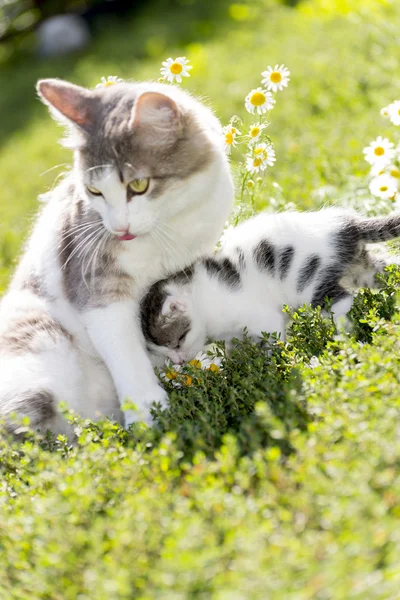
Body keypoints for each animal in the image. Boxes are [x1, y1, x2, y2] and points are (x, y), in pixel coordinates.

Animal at [0, 78, 233, 436]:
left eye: (138, 185)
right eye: (94, 191)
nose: (119, 227)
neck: (168, 227)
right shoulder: (96, 284)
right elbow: (124, 351)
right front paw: (148, 414)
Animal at [141, 209, 400, 364]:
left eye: (178, 341)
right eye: (164, 351)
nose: (178, 361)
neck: (203, 302)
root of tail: (347, 226)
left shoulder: (264, 319)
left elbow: (273, 341)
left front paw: (270, 365)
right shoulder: (234, 332)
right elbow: (232, 347)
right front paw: (234, 367)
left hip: (309, 285)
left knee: (342, 301)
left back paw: (343, 336)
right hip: (361, 269)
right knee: (387, 270)